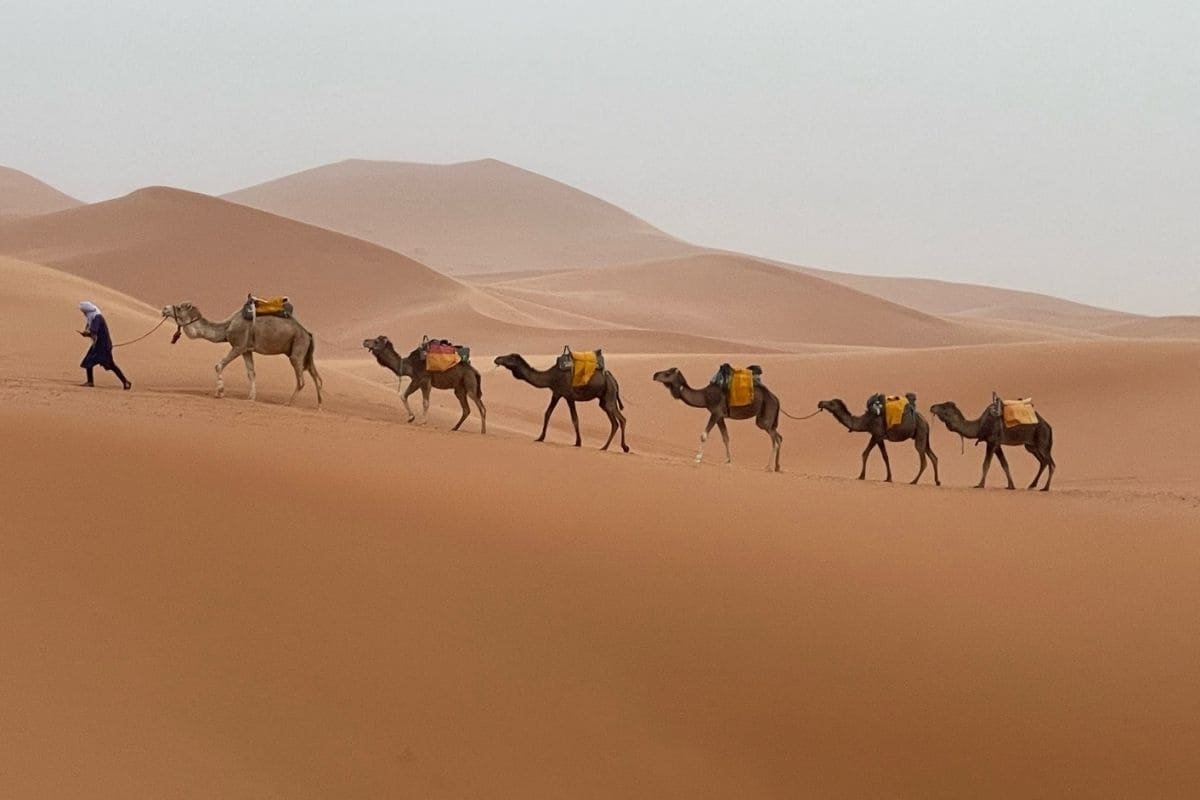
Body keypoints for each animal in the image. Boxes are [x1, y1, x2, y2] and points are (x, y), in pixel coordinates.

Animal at [161, 302, 323, 406]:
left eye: (179, 307)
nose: (164, 309)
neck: (227, 327)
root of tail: (308, 334)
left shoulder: (238, 346)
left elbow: (218, 364)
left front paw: (220, 392)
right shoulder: (247, 350)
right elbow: (251, 373)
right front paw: (251, 397)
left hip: (297, 349)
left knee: (301, 379)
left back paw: (288, 403)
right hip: (304, 351)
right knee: (315, 375)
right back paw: (319, 406)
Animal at [493, 353, 629, 452]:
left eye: (510, 357)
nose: (497, 358)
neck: (550, 376)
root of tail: (613, 380)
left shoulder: (562, 394)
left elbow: (560, 416)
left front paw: (541, 438)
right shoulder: (561, 394)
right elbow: (560, 415)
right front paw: (577, 442)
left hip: (609, 395)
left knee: (617, 421)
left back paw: (607, 447)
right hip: (605, 399)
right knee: (618, 420)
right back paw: (621, 447)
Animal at [651, 367, 786, 471]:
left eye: (667, 373)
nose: (655, 375)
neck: (704, 396)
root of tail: (776, 399)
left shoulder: (715, 412)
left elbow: (704, 435)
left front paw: (697, 458)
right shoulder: (721, 416)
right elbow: (725, 437)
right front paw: (728, 460)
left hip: (765, 418)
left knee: (775, 439)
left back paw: (768, 467)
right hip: (765, 418)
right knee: (779, 437)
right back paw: (777, 467)